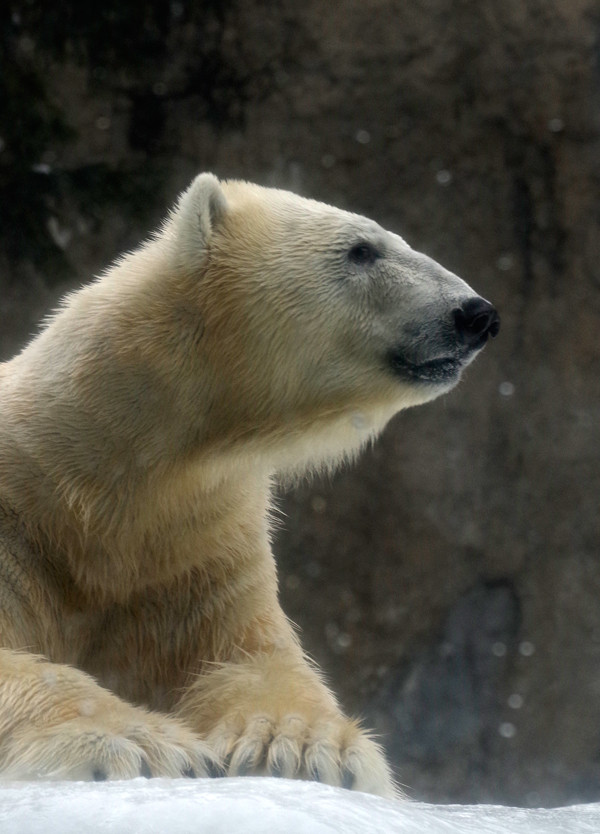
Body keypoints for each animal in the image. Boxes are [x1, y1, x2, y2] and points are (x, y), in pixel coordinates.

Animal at [0, 174, 500, 792]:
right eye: (362, 249)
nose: (475, 313)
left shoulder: (198, 547)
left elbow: (247, 660)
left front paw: (303, 748)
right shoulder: (21, 524)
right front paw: (141, 745)